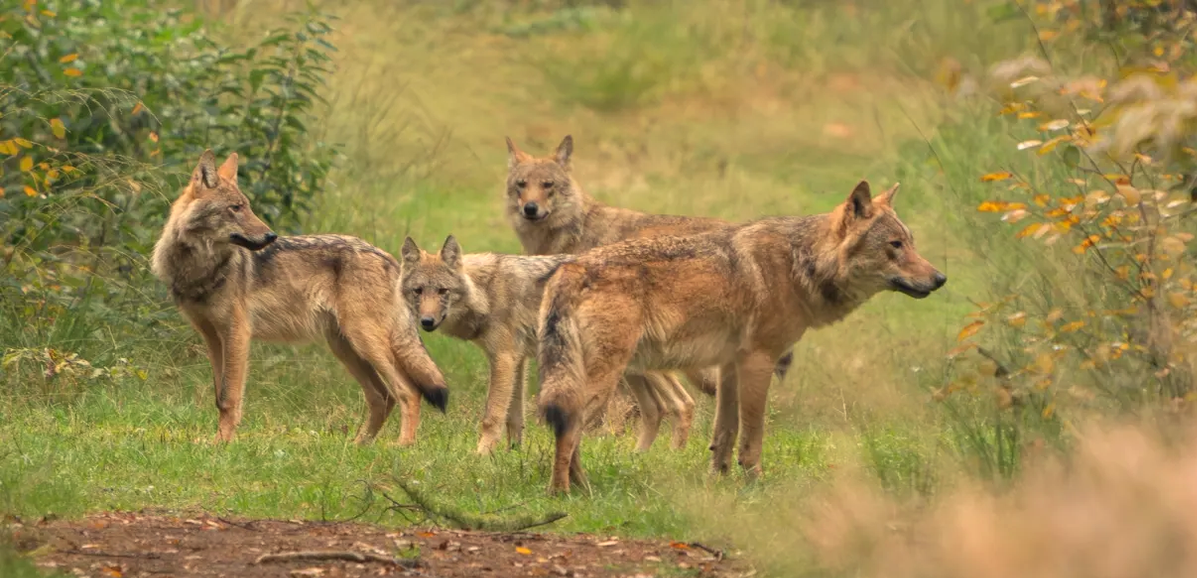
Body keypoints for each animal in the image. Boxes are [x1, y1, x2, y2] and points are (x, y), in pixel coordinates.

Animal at [150, 150, 449, 445]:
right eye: (235, 208)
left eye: (247, 206)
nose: (271, 236)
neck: (200, 268)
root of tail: (388, 258)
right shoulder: (212, 336)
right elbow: (218, 396)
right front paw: (218, 442)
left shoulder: (237, 334)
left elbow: (228, 397)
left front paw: (221, 445)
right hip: (345, 347)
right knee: (382, 397)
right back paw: (357, 447)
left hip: (365, 341)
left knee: (408, 392)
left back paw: (402, 447)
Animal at [399, 235, 698, 455]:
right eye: (418, 291)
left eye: (442, 291)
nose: (426, 321)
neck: (486, 291)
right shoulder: (518, 360)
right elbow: (514, 417)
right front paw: (513, 455)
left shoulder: (504, 358)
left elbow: (492, 416)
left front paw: (480, 456)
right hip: (631, 368)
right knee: (659, 409)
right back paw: (638, 457)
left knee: (683, 403)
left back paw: (673, 457)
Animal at [535, 180, 947, 493]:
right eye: (895, 245)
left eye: (911, 242)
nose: (941, 278)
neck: (800, 265)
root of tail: (570, 268)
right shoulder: (758, 361)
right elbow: (752, 436)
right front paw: (755, 485)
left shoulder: (729, 366)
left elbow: (724, 434)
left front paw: (717, 482)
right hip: (608, 377)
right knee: (568, 427)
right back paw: (561, 493)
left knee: (571, 431)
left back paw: (584, 489)